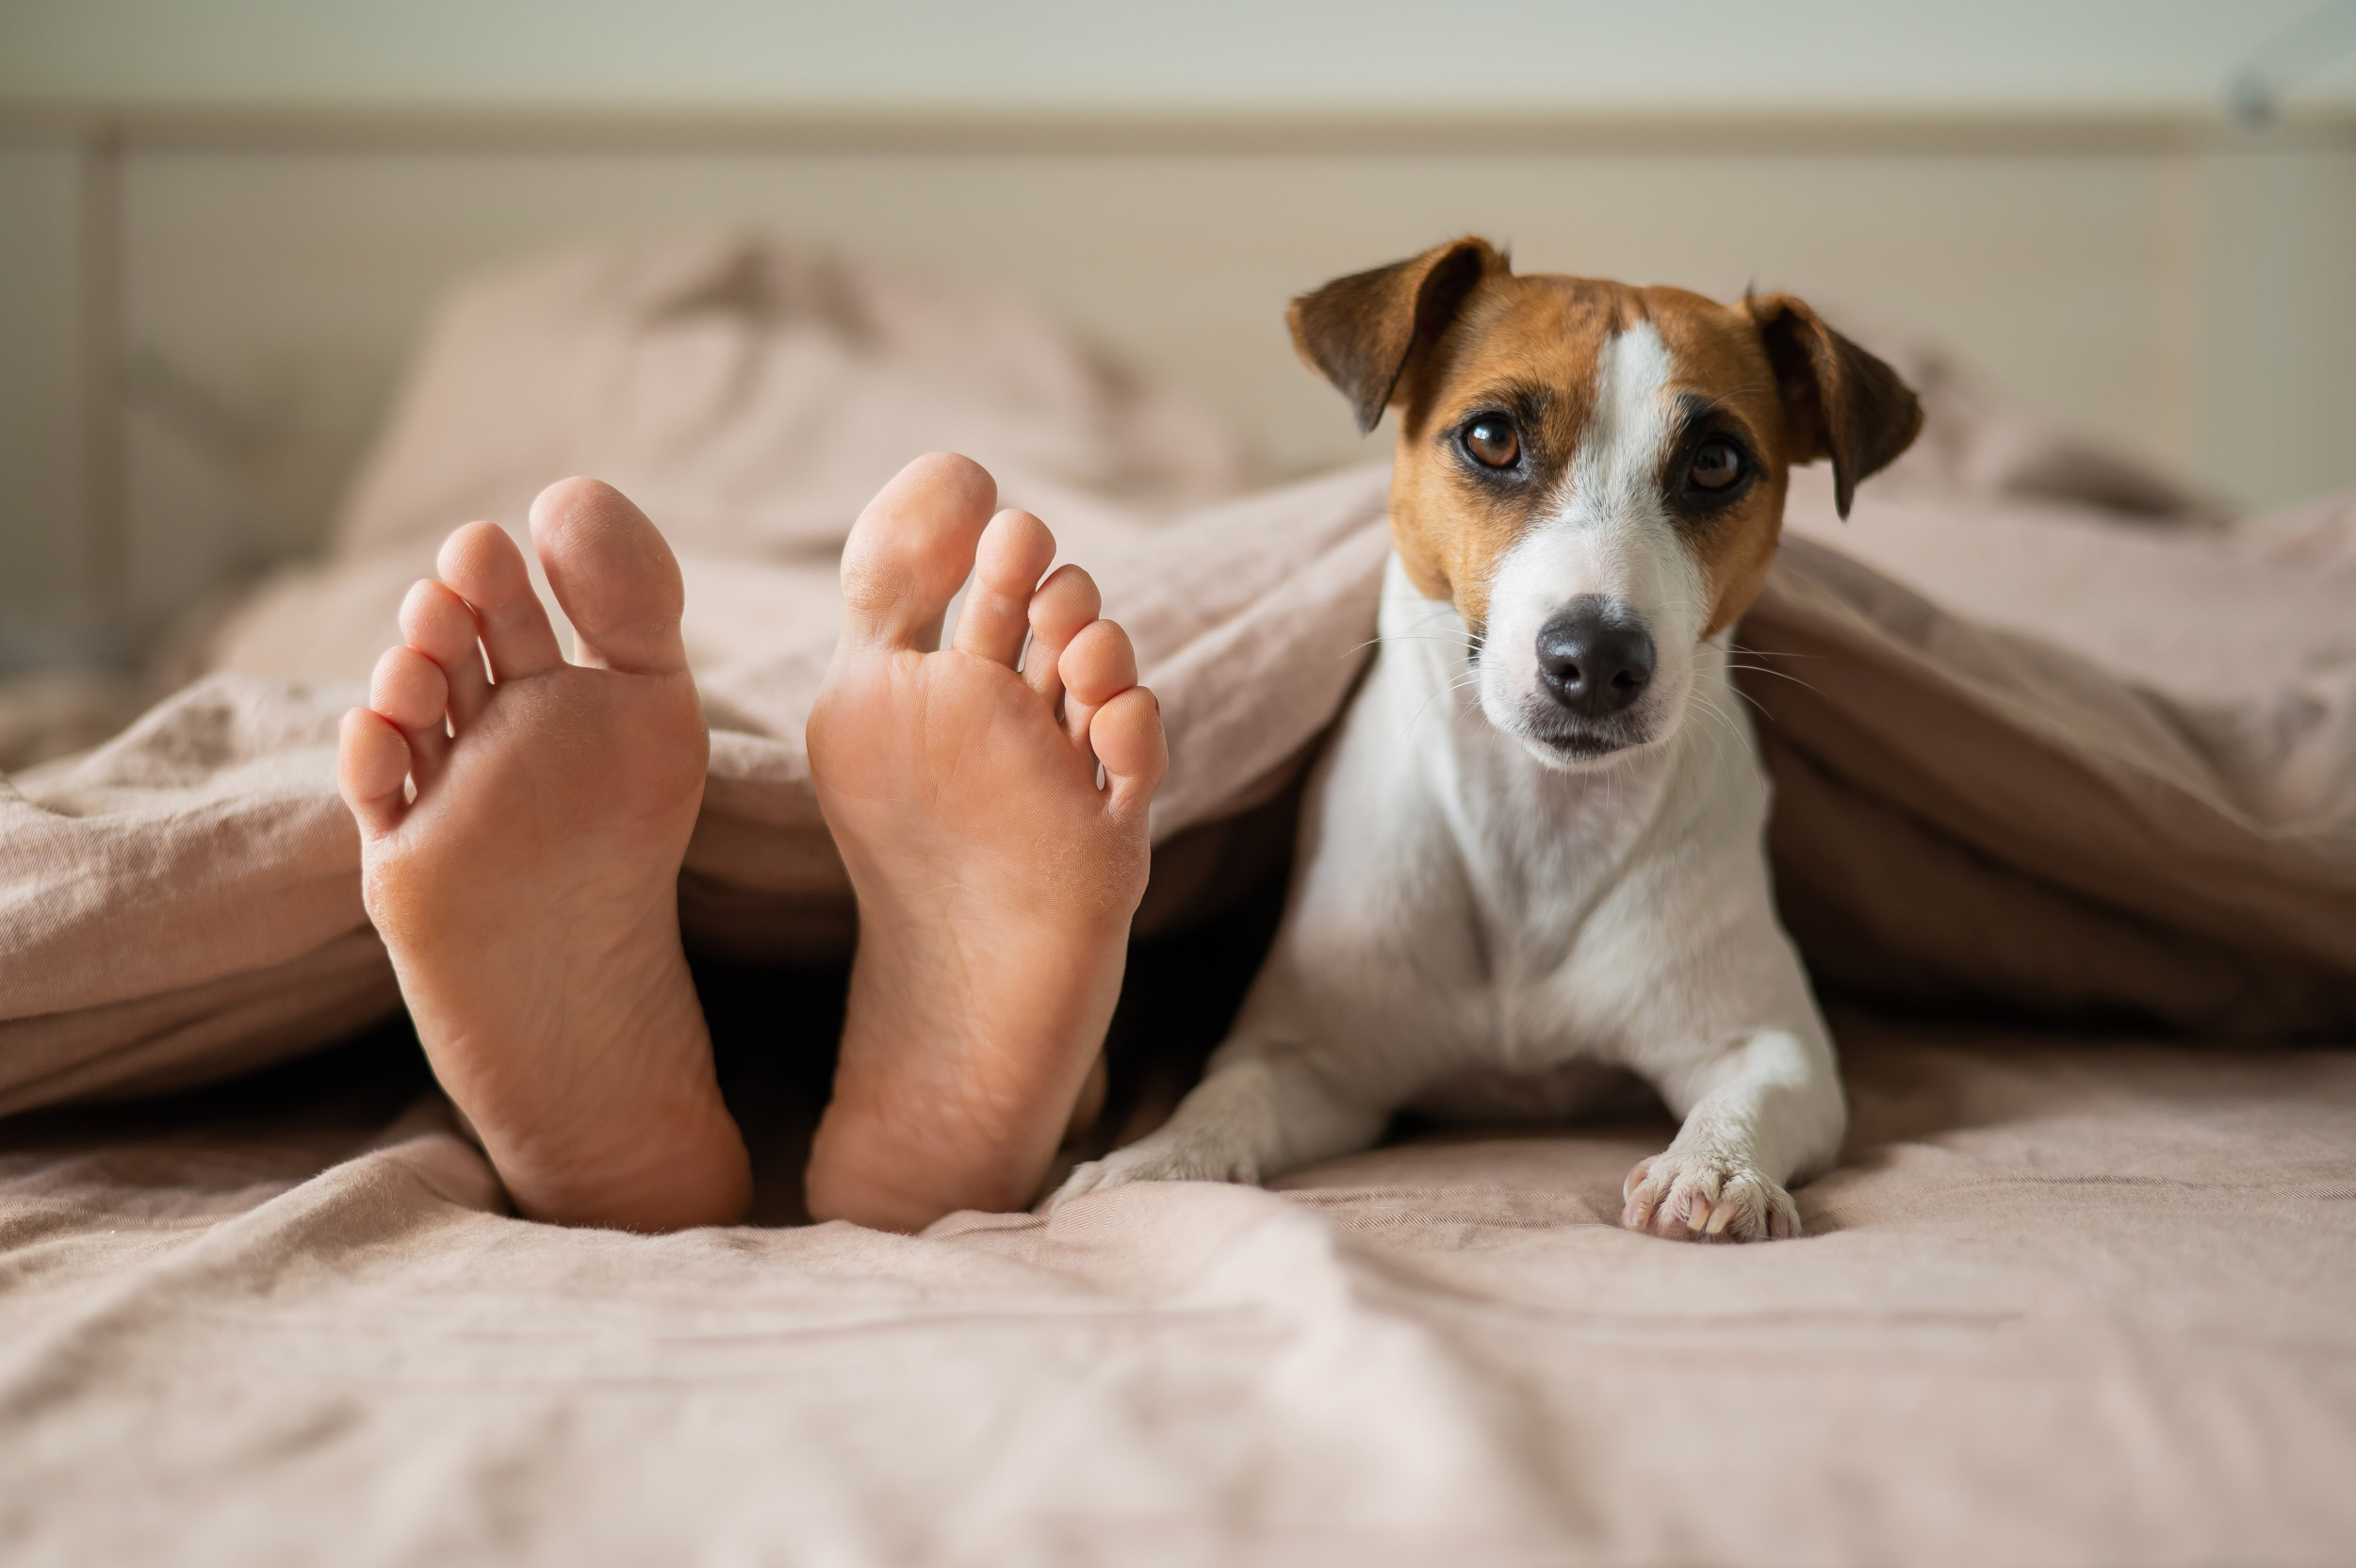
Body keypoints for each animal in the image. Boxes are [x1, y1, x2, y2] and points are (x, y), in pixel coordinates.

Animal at [1060, 235, 1922, 1233]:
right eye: (1491, 438)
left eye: (1716, 461)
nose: (1598, 656)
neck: (1538, 819)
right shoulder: (1312, 1061)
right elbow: (1224, 1099)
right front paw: (1152, 1161)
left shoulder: (1771, 1044)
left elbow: (1750, 1097)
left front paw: (1714, 1169)